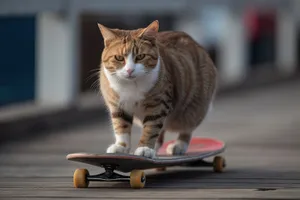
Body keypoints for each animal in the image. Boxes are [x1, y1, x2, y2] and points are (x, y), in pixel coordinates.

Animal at [97, 20, 217, 158]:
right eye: (119, 58)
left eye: (141, 56)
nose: (129, 70)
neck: (131, 85)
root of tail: (196, 43)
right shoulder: (117, 105)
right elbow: (121, 126)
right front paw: (121, 146)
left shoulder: (158, 104)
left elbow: (151, 128)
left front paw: (145, 148)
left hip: (193, 109)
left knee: (187, 127)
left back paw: (179, 145)